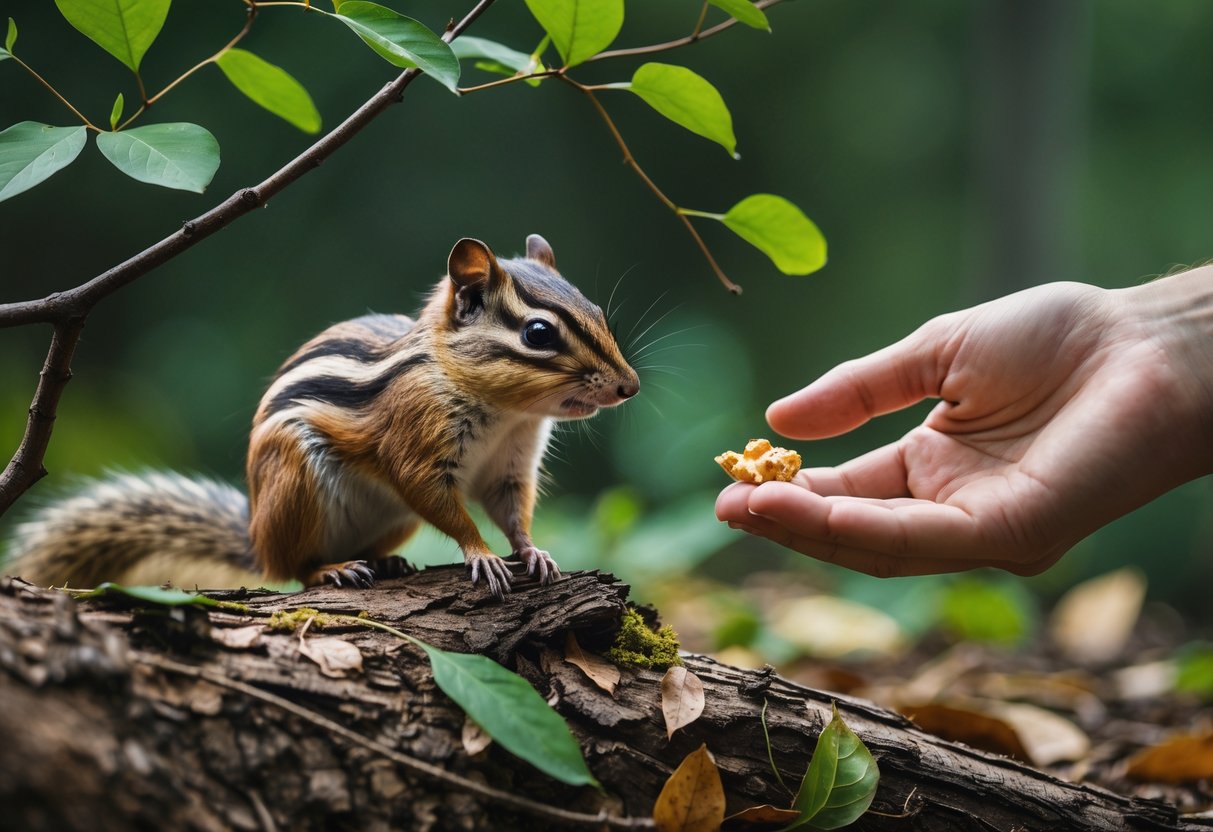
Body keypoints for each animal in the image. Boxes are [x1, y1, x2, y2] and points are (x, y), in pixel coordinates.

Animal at [4, 234, 639, 599]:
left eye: (598, 311)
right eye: (539, 334)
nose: (629, 387)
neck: (508, 413)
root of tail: (256, 536)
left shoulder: (511, 464)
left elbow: (512, 511)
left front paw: (533, 552)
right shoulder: (417, 440)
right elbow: (438, 500)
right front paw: (482, 555)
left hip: (385, 518)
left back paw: (387, 563)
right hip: (295, 484)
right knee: (293, 567)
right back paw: (332, 572)